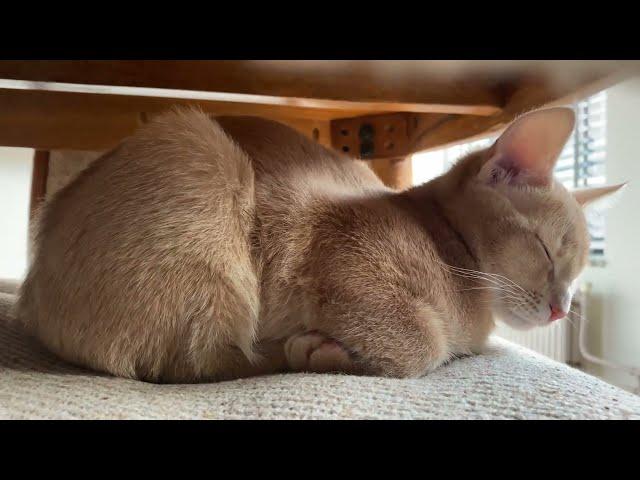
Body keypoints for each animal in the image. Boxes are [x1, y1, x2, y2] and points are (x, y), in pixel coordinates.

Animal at [16, 106, 624, 382]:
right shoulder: (340, 262)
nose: (562, 309)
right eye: (547, 252)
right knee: (194, 362)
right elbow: (422, 345)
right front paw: (332, 349)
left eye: (576, 277)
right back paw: (299, 351)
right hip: (202, 160)